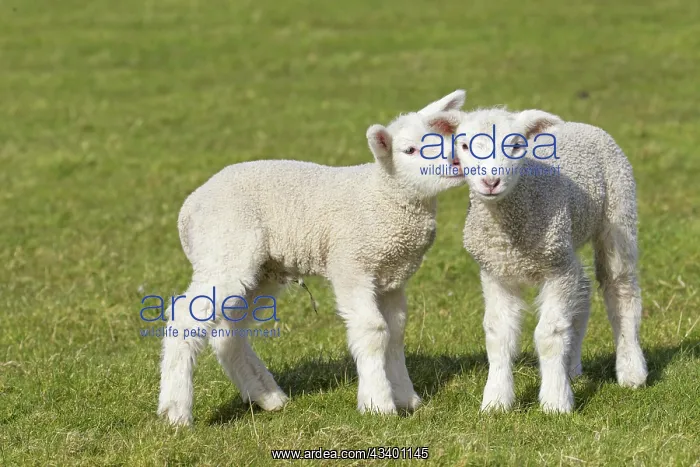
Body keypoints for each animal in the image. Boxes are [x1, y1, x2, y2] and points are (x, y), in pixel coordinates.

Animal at [157, 91, 469, 426]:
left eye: (445, 140)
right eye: (410, 150)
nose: (455, 162)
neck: (382, 195)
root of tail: (188, 208)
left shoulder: (391, 277)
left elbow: (395, 332)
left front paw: (406, 398)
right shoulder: (351, 265)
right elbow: (373, 331)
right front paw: (379, 404)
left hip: (260, 269)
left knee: (228, 332)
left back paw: (267, 396)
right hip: (223, 250)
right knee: (184, 318)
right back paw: (176, 412)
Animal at [451, 106, 648, 413]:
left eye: (516, 145)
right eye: (463, 145)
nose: (491, 182)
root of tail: (579, 124)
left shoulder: (557, 270)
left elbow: (549, 335)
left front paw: (556, 401)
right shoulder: (497, 273)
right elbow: (498, 335)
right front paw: (495, 400)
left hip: (619, 210)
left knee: (621, 289)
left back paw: (631, 371)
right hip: (567, 244)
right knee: (583, 290)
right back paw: (573, 367)